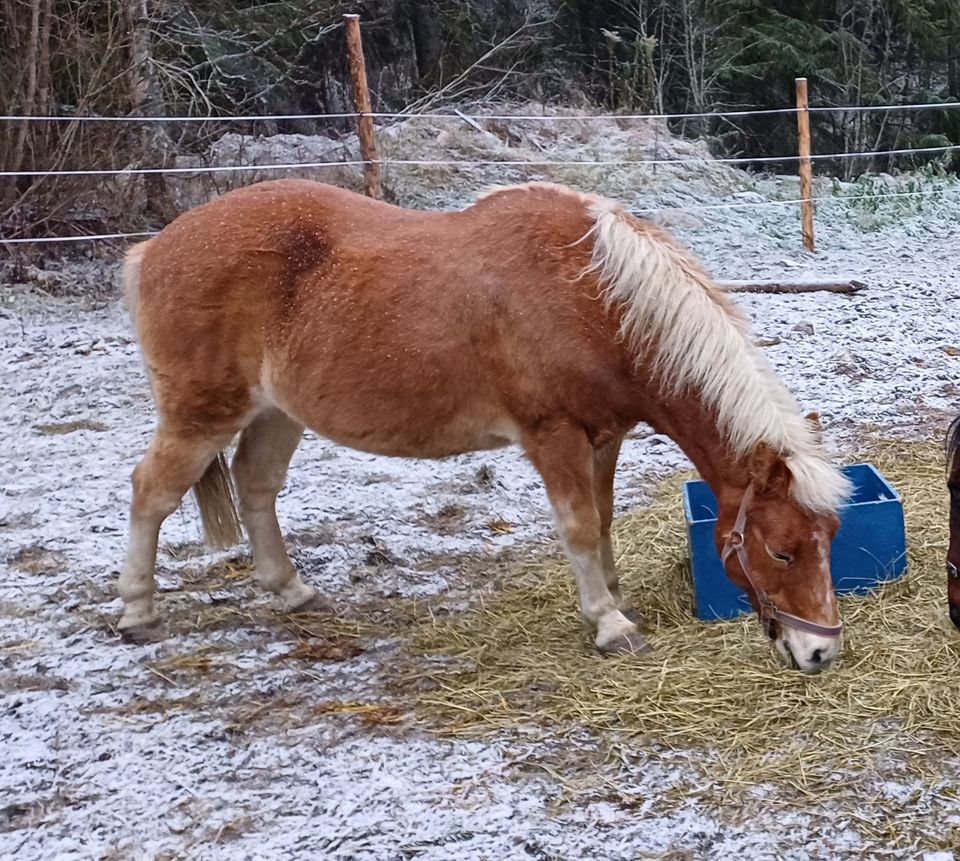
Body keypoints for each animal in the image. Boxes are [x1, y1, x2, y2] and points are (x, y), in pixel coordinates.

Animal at [118, 180, 848, 672]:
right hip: (200, 416)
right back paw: (137, 611)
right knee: (151, 492)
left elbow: (603, 519)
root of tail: (152, 248)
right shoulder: (553, 435)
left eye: (830, 540)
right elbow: (578, 526)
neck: (594, 299)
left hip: (277, 412)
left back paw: (292, 590)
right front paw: (609, 624)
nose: (820, 652)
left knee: (257, 486)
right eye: (781, 550)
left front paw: (616, 596)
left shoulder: (604, 435)